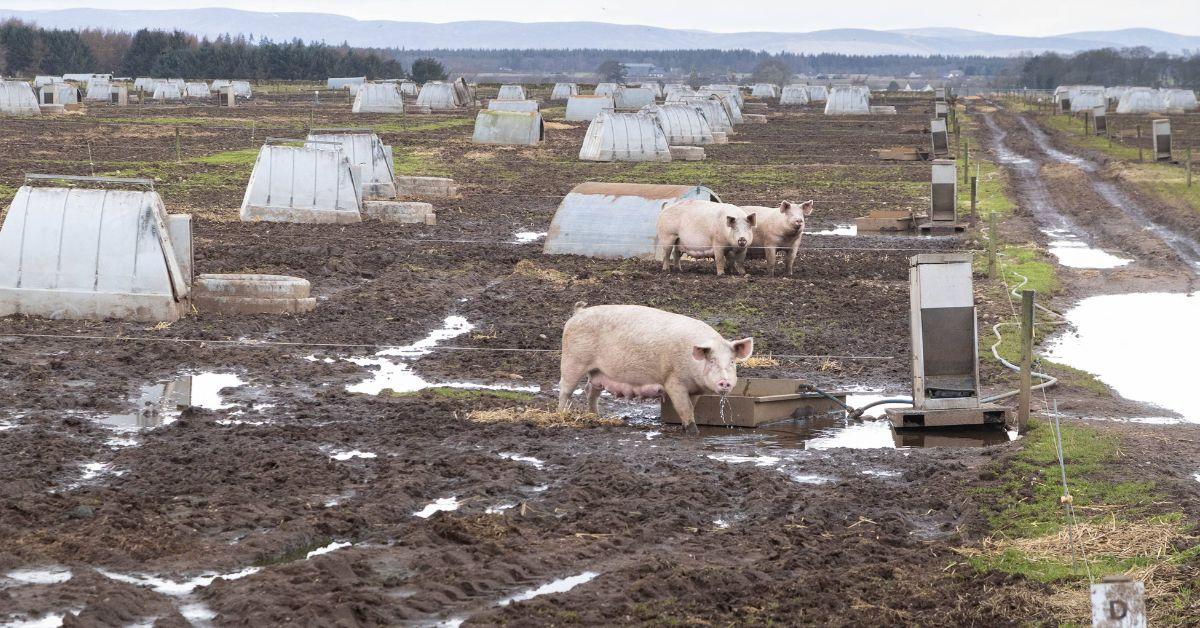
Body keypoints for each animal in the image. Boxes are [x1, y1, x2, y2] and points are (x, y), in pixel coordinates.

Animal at [557, 302, 754, 434]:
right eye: (712, 360)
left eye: (732, 361)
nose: (725, 382)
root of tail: (578, 313)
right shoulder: (673, 382)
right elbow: (684, 409)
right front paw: (693, 432)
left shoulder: (695, 390)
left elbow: (692, 407)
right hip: (573, 361)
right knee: (565, 389)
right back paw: (561, 414)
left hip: (598, 371)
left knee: (590, 390)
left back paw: (596, 417)